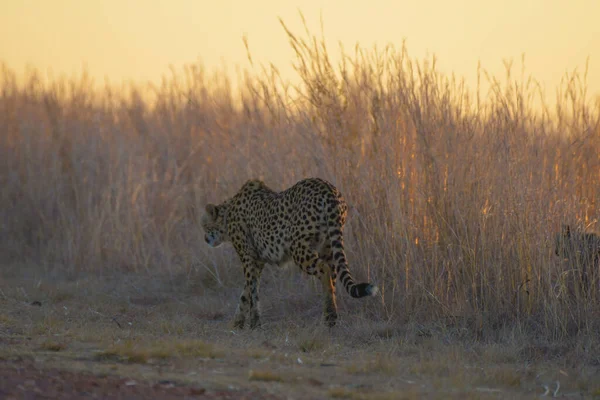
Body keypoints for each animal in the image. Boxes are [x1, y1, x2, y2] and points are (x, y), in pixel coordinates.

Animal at [202, 178, 380, 328]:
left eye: (204, 226)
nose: (205, 239)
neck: (227, 216)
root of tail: (328, 187)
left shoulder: (248, 258)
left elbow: (251, 291)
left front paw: (253, 324)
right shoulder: (257, 262)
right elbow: (246, 292)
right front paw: (238, 323)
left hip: (298, 247)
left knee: (324, 270)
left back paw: (330, 317)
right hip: (328, 246)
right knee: (333, 275)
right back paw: (329, 314)